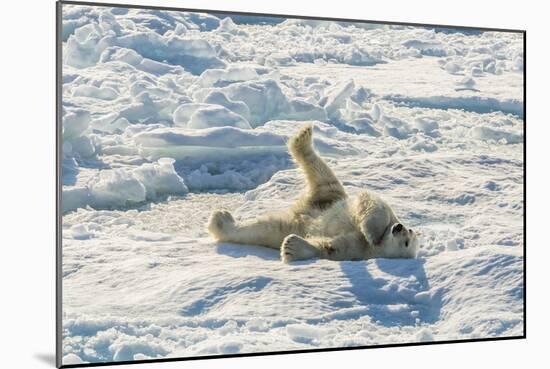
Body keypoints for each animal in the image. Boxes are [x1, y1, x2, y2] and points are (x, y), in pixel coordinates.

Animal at [209, 123, 420, 262]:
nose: (399, 227)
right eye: (409, 232)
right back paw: (304, 136)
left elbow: (328, 247)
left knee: (262, 229)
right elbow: (374, 203)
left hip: (297, 217)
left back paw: (220, 222)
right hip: (330, 197)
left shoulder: (356, 250)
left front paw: (291, 247)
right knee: (323, 172)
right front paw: (372, 231)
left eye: (407, 242)